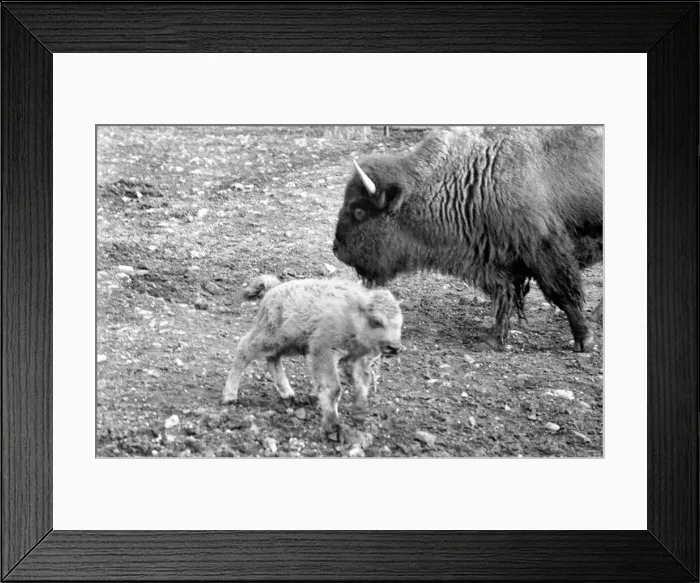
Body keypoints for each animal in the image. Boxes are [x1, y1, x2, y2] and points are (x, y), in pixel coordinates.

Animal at [332, 126, 603, 352]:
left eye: (358, 211)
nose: (336, 249)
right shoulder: (498, 261)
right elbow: (505, 297)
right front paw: (492, 340)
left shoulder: (544, 251)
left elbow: (563, 293)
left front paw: (583, 340)